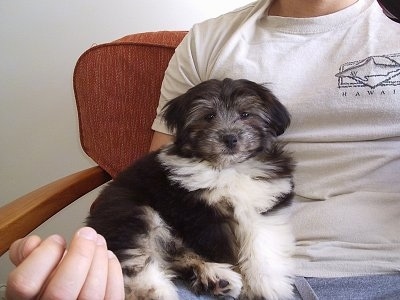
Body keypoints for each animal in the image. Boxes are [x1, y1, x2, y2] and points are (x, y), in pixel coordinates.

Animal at [86, 78, 294, 298]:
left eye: (245, 114)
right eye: (209, 116)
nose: (230, 138)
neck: (225, 168)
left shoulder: (262, 201)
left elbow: (262, 243)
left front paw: (267, 284)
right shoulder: (201, 213)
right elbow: (223, 249)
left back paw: (215, 277)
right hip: (131, 211)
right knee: (133, 256)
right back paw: (156, 289)